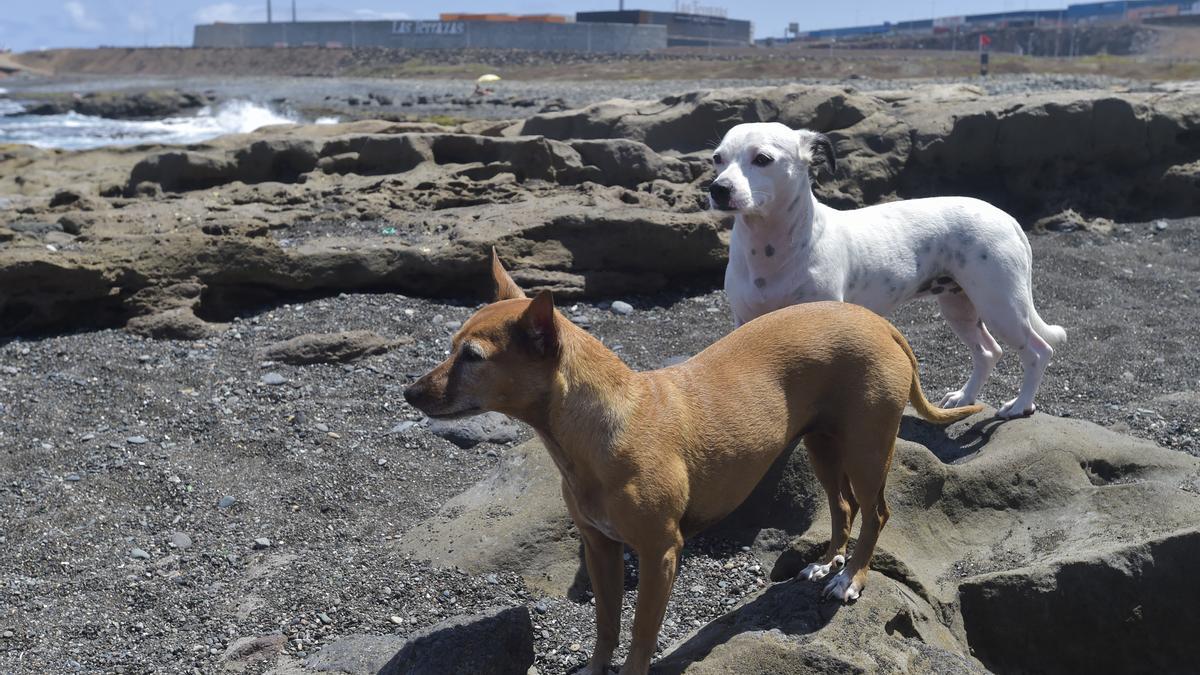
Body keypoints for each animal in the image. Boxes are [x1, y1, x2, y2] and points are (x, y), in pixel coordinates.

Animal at [405, 251, 984, 672]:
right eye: (451, 346)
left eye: (472, 357)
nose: (410, 393)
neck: (598, 428)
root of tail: (880, 324)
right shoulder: (601, 548)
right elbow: (606, 626)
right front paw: (594, 669)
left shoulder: (659, 554)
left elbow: (640, 633)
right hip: (821, 443)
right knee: (842, 507)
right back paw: (829, 562)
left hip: (866, 448)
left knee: (876, 512)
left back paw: (852, 579)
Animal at [705, 120, 1065, 415]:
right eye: (717, 158)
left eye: (762, 159)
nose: (718, 189)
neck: (769, 249)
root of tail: (1005, 216)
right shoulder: (747, 323)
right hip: (960, 307)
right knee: (988, 352)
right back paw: (965, 397)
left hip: (1001, 306)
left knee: (1038, 351)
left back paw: (1020, 405)